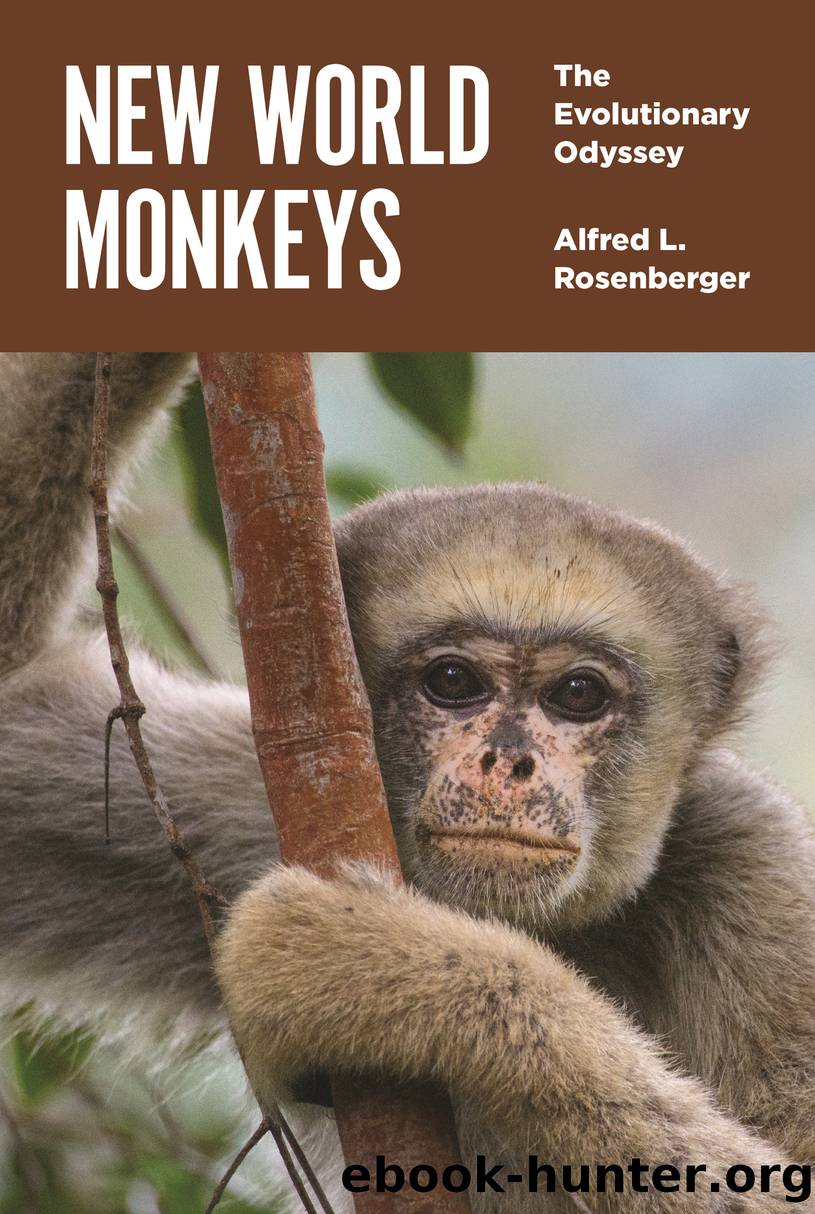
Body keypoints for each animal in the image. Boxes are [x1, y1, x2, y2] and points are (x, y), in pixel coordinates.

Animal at [0, 352, 813, 1211]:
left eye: (577, 695)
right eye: (453, 682)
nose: (507, 761)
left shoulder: (755, 860)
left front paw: (381, 963)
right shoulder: (248, 799)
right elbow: (11, 704)